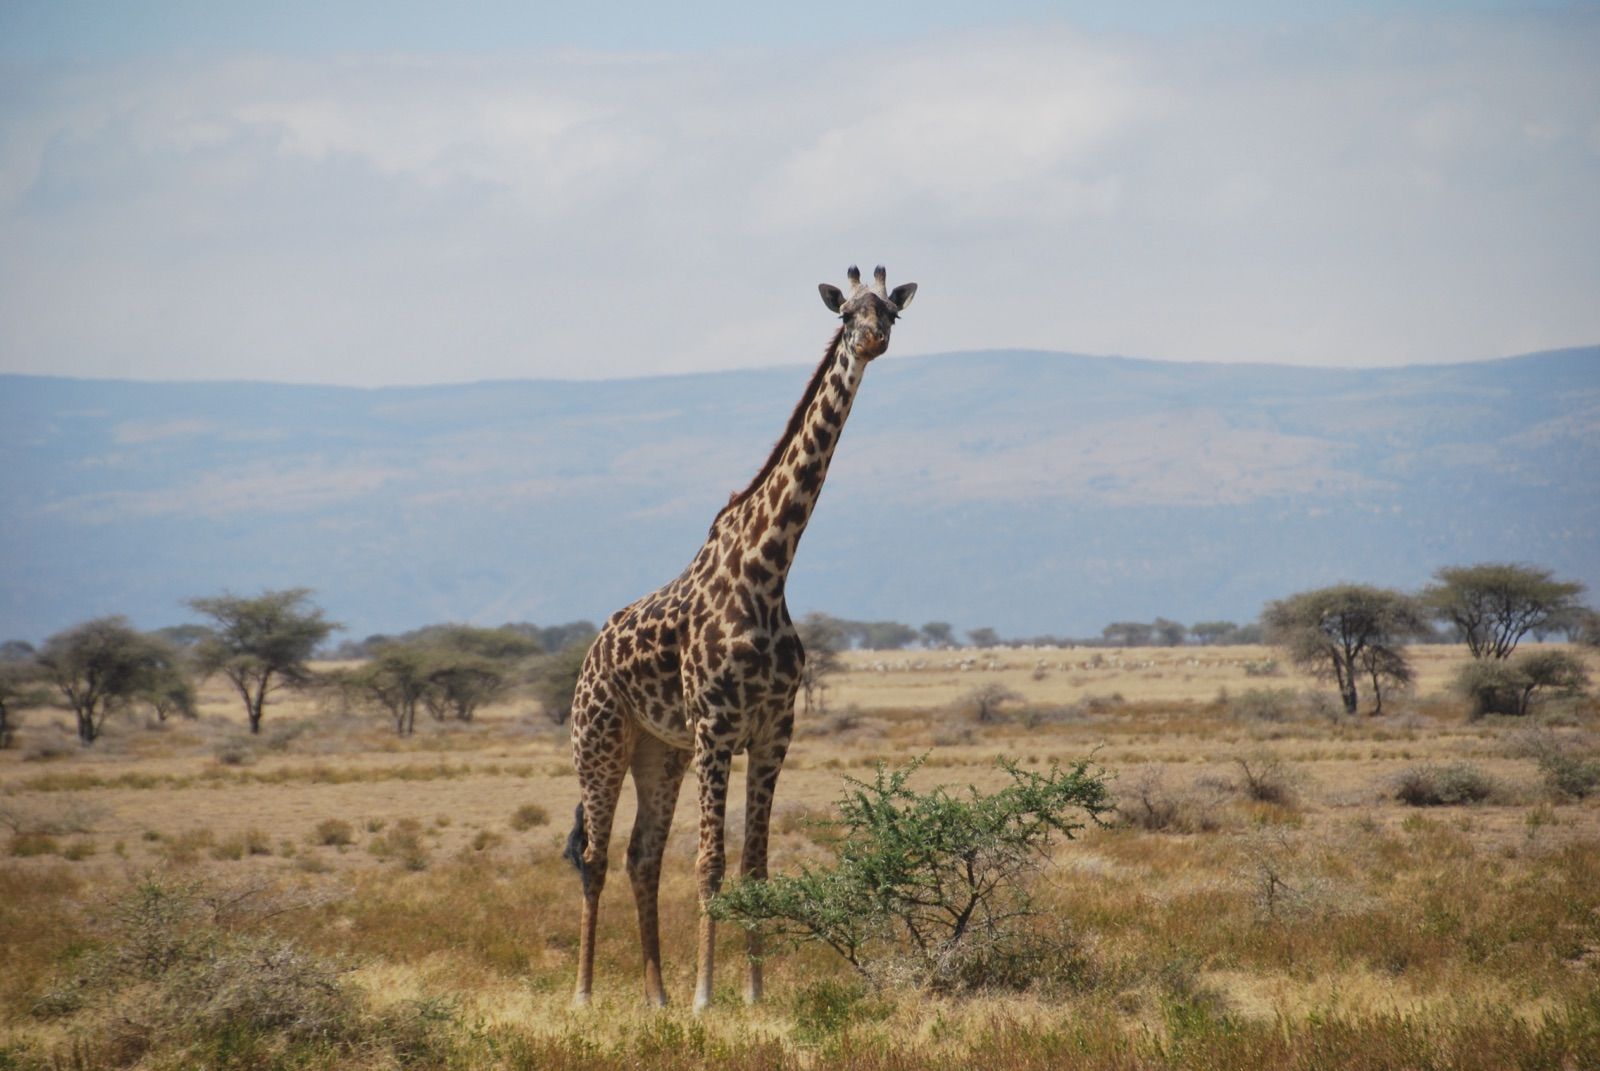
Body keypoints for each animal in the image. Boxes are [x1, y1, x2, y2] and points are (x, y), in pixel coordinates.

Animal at [565, 265, 917, 1011]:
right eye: (845, 313)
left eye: (891, 313)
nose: (871, 340)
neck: (770, 565)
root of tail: (590, 655)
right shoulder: (718, 727)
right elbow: (711, 861)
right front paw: (707, 996)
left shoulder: (774, 729)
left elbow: (754, 862)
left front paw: (752, 994)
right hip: (600, 740)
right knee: (595, 855)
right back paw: (584, 993)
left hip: (660, 751)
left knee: (640, 855)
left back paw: (656, 996)